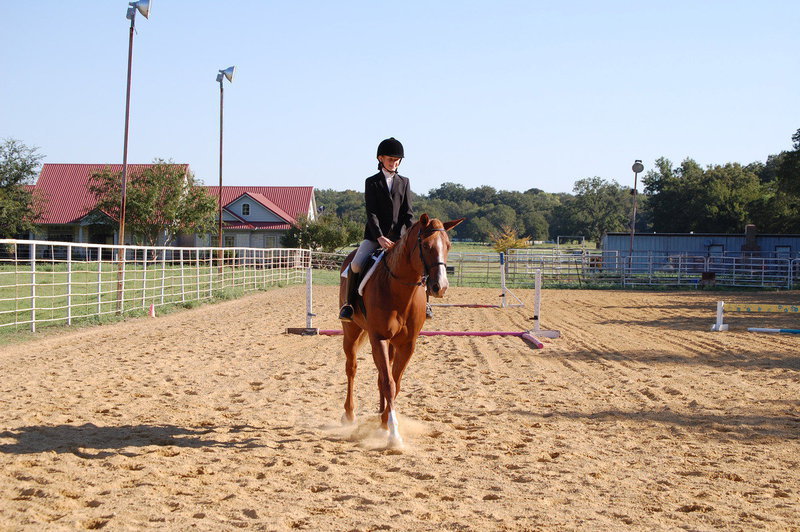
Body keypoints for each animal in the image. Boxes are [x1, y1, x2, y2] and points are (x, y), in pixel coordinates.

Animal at [338, 213, 464, 447]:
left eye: (448, 246)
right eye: (426, 245)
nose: (440, 287)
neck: (399, 291)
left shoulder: (407, 344)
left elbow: (395, 383)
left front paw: (385, 425)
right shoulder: (379, 338)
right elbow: (389, 384)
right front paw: (394, 435)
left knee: (381, 374)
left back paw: (380, 415)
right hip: (351, 331)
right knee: (352, 368)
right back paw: (349, 415)